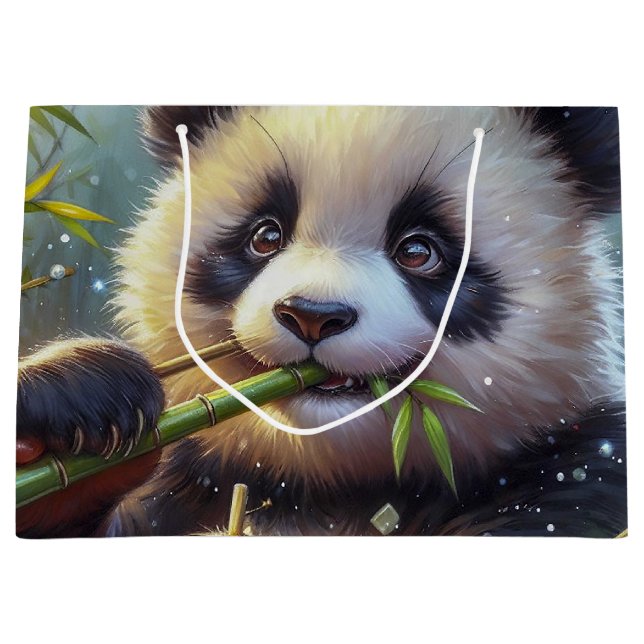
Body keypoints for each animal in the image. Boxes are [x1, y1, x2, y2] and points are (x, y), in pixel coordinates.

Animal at [17, 106, 626, 537]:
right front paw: (85, 395)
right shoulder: (195, 481)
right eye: (265, 235)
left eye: (419, 251)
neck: (328, 479)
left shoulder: (571, 475)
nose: (312, 317)